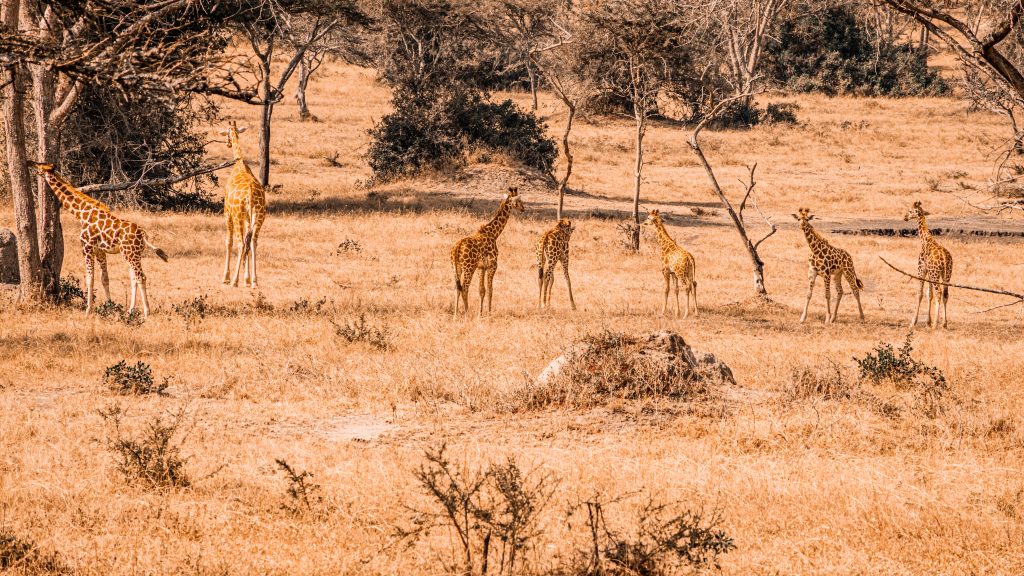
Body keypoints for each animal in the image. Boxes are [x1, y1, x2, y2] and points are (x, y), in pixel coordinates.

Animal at [26, 162, 168, 318]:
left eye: (39, 165)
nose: (29, 162)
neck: (81, 213)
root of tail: (143, 234)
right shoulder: (100, 250)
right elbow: (104, 278)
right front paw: (110, 306)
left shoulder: (86, 246)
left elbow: (90, 278)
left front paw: (88, 310)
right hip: (133, 254)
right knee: (134, 279)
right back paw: (131, 310)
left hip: (130, 254)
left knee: (141, 277)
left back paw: (146, 313)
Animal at [221, 121, 267, 288]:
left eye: (227, 133)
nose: (227, 143)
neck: (240, 162)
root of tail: (250, 195)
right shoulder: (248, 218)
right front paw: (247, 279)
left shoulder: (227, 212)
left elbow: (228, 242)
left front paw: (226, 277)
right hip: (259, 216)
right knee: (253, 242)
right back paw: (254, 281)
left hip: (237, 216)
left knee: (241, 244)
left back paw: (234, 281)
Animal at [451, 187, 525, 317]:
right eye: (519, 200)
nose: (523, 208)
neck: (494, 234)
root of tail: (457, 248)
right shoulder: (493, 265)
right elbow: (491, 290)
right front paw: (489, 313)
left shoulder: (481, 267)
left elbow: (482, 290)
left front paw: (480, 314)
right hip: (469, 267)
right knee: (464, 288)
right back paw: (466, 313)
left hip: (456, 268)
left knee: (457, 288)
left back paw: (455, 314)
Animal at [905, 201, 953, 329]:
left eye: (910, 211)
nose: (905, 217)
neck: (925, 239)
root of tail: (945, 259)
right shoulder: (930, 272)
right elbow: (929, 294)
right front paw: (927, 322)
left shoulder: (921, 269)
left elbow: (920, 293)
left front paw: (913, 322)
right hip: (946, 274)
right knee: (945, 294)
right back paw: (944, 323)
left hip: (936, 274)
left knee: (938, 293)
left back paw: (935, 324)